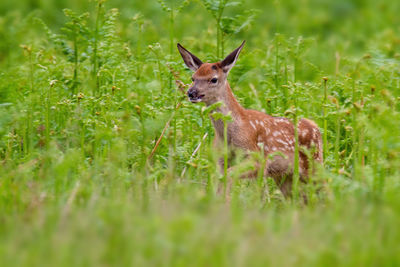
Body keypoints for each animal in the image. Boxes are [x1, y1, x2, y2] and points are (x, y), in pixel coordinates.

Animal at [177, 40, 324, 198]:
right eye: (193, 78)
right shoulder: (221, 158)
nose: (191, 93)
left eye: (213, 79)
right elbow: (221, 179)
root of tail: (315, 127)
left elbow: (229, 175)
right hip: (284, 175)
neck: (229, 134)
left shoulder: (257, 158)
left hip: (314, 164)